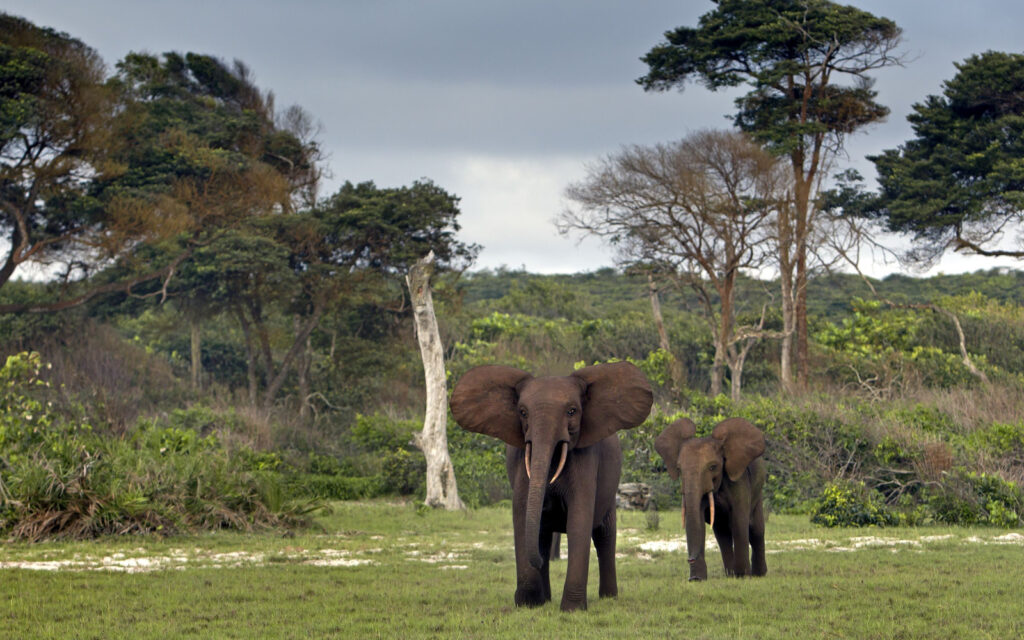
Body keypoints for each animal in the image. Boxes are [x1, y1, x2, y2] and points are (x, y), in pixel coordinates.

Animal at [450, 360, 655, 610]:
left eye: (572, 411)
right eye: (522, 412)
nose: (520, 596)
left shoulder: (586, 457)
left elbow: (579, 518)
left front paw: (572, 609)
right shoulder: (522, 460)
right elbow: (522, 513)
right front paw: (528, 603)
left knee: (604, 536)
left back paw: (608, 598)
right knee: (545, 537)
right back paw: (544, 599)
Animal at [655, 417, 770, 581]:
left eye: (713, 467)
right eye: (679, 469)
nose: (690, 559)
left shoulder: (738, 480)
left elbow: (739, 521)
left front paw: (743, 576)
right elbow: (698, 520)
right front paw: (698, 579)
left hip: (758, 491)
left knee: (756, 529)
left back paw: (758, 574)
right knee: (722, 533)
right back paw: (730, 574)